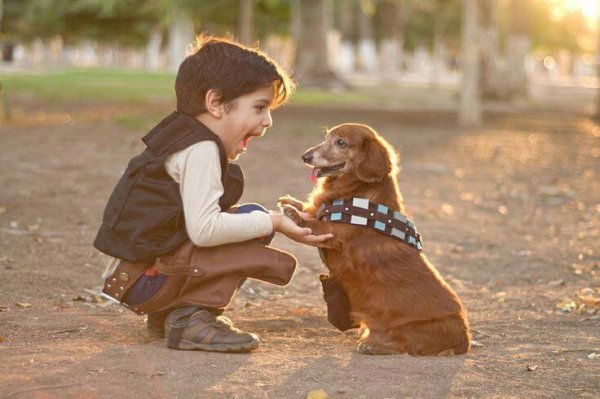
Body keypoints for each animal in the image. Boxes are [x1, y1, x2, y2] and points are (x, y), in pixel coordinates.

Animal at [278, 122, 472, 356]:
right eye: (326, 138)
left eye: (341, 142)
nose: (305, 156)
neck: (356, 193)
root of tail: (465, 339)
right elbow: (311, 210)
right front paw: (292, 202)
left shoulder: (331, 234)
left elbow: (312, 223)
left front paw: (293, 213)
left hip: (409, 328)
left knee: (403, 346)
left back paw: (373, 345)